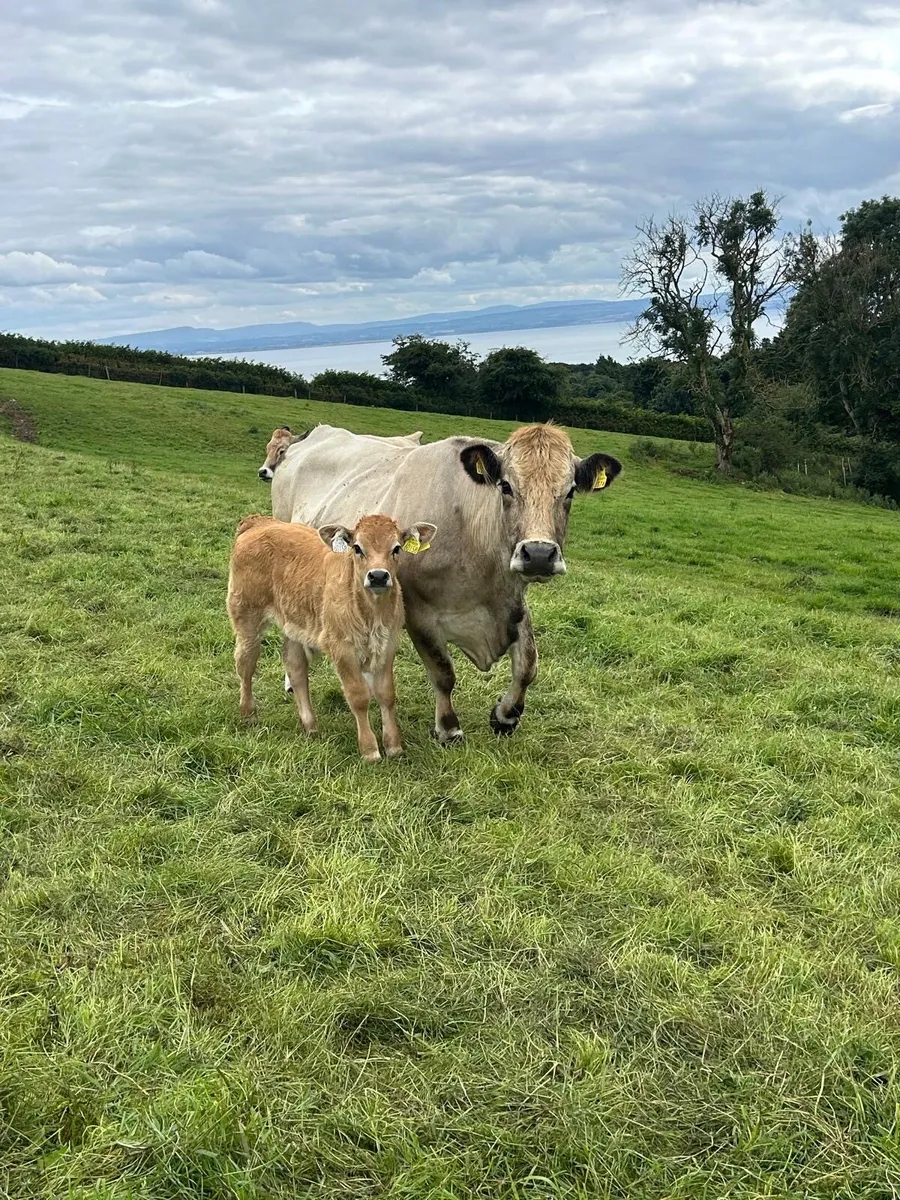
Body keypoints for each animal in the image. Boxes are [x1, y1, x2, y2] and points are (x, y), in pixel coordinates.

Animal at [226, 512, 437, 762]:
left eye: (396, 548)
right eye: (357, 548)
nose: (378, 576)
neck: (372, 614)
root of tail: (259, 522)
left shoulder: (387, 646)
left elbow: (386, 694)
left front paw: (394, 745)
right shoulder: (341, 648)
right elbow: (358, 696)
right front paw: (370, 749)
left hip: (295, 623)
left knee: (295, 667)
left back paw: (310, 726)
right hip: (246, 614)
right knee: (245, 663)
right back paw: (248, 713)